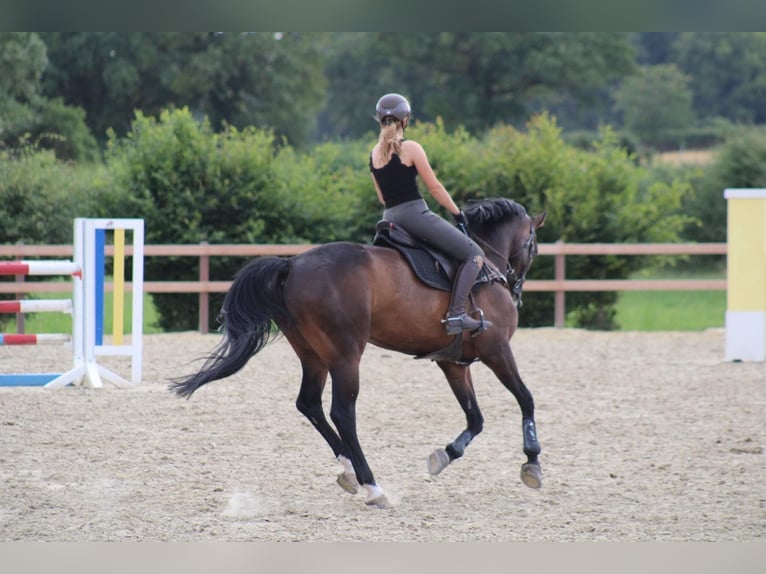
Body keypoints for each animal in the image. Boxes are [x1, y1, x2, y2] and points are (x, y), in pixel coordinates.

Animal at [172, 198, 548, 508]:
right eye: (533, 245)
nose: (517, 290)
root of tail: (293, 265)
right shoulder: (497, 350)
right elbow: (526, 398)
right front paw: (532, 462)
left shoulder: (452, 363)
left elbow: (476, 418)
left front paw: (444, 455)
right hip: (345, 355)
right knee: (342, 412)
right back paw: (372, 486)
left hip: (313, 355)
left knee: (309, 404)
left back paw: (349, 469)